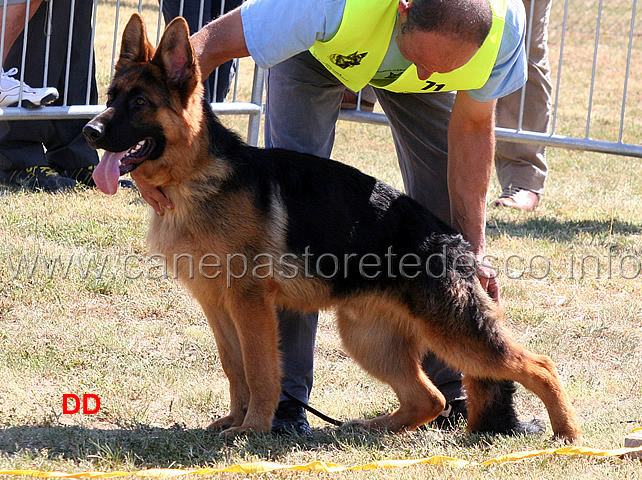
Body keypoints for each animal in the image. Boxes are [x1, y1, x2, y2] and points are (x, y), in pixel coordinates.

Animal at [82, 14, 584, 442]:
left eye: (140, 103)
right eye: (110, 98)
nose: (89, 131)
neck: (197, 176)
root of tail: (456, 241)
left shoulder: (249, 303)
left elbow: (261, 370)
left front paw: (253, 427)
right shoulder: (215, 304)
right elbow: (234, 366)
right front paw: (234, 420)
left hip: (455, 334)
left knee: (540, 366)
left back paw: (568, 435)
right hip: (367, 338)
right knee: (429, 399)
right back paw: (371, 428)